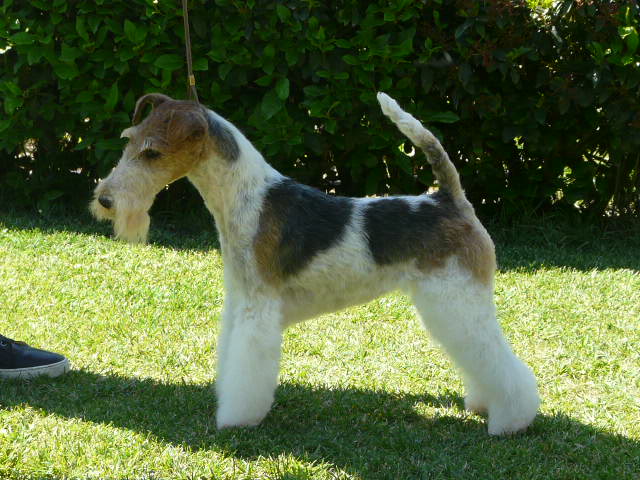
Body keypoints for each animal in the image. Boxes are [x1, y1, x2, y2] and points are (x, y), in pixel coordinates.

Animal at [90, 92, 539, 435]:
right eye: (129, 140)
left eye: (153, 152)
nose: (105, 200)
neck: (245, 200)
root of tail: (449, 199)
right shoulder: (240, 301)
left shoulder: (259, 310)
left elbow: (247, 371)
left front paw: (236, 419)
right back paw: (483, 404)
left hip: (456, 299)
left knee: (500, 362)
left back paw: (510, 421)